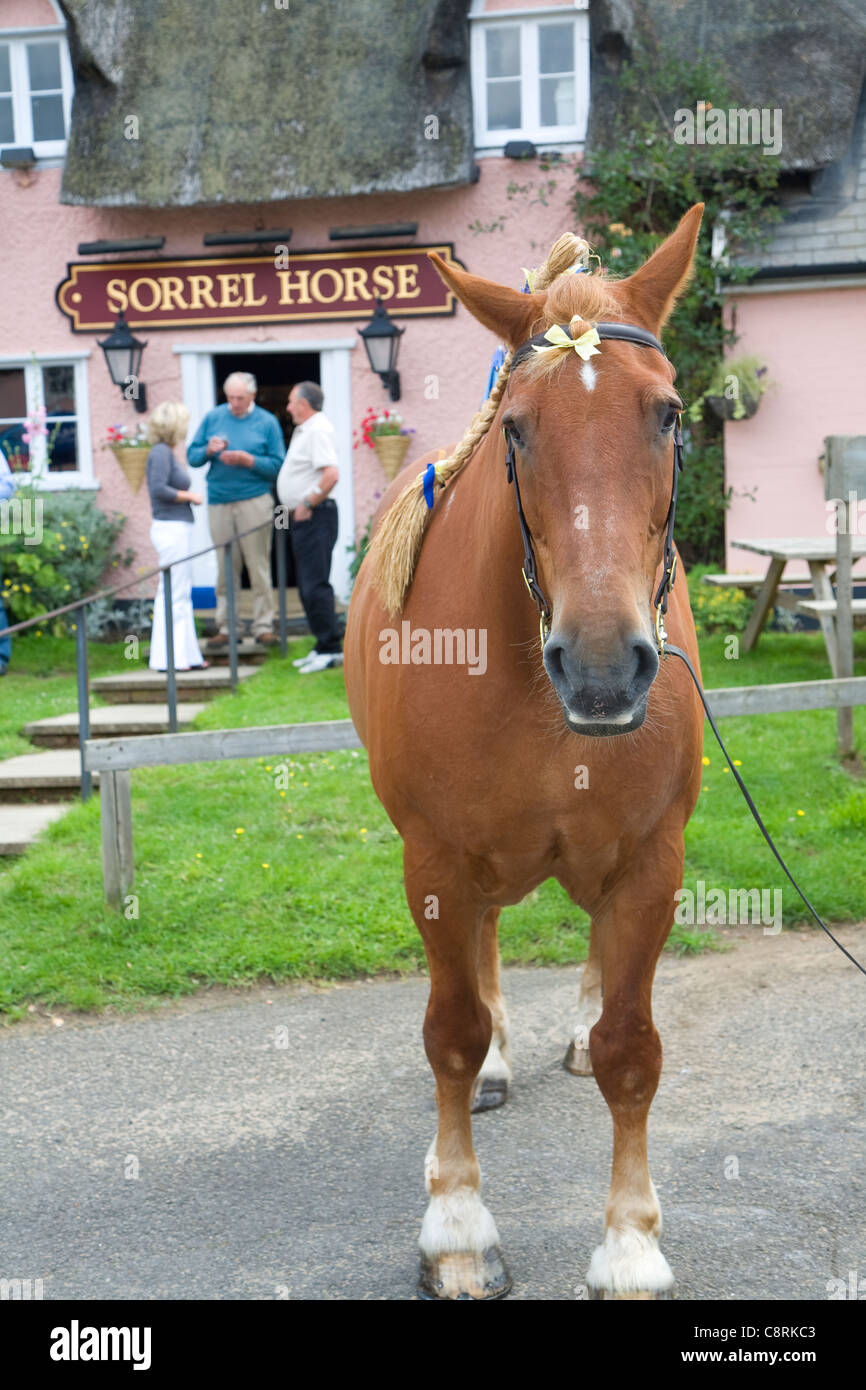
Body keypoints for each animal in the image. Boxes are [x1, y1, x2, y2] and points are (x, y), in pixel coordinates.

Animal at [341, 205, 708, 1301]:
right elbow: (451, 1033)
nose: (601, 666)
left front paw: (629, 1243)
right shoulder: (435, 862)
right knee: (486, 948)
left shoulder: (651, 861)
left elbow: (633, 1049)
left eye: (666, 414)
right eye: (515, 426)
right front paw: (456, 1224)